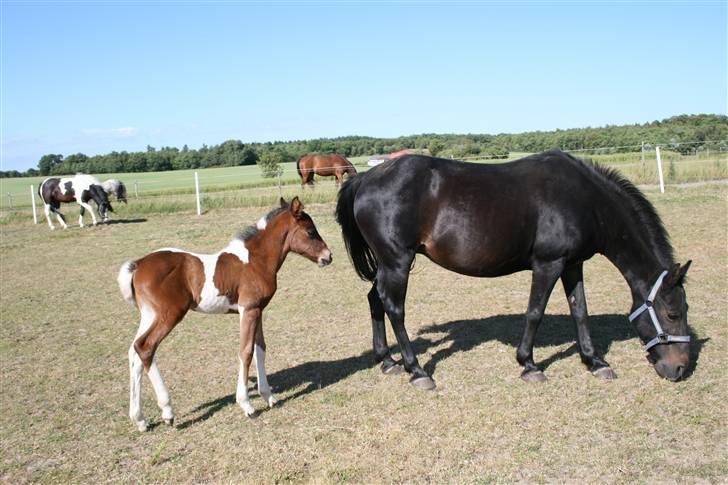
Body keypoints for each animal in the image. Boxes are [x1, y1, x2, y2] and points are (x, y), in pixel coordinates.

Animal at [117, 197, 332, 432]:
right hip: (169, 314)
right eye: (310, 231)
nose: (328, 256)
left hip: (149, 315)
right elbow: (246, 352)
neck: (255, 260)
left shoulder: (258, 310)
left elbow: (260, 349)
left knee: (133, 353)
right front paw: (247, 405)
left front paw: (269, 397)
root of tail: (138, 265)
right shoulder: (248, 309)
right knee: (145, 347)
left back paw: (140, 420)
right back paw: (167, 411)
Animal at [336, 151, 692, 390]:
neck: (584, 199)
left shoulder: (572, 264)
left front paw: (595, 362)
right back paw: (417, 370)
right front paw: (529, 364)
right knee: (394, 307)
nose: (679, 369)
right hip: (397, 261)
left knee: (375, 300)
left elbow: (580, 311)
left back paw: (387, 361)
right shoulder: (548, 264)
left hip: (387, 264)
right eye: (672, 314)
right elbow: (535, 312)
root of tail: (365, 178)